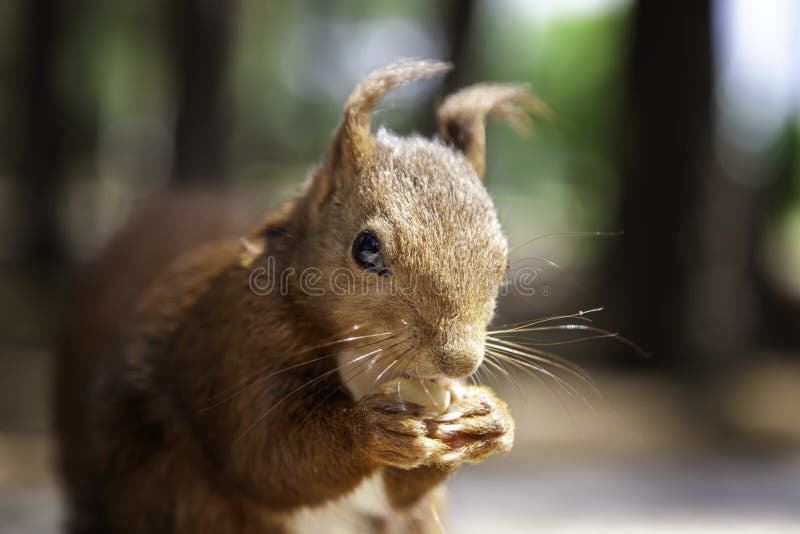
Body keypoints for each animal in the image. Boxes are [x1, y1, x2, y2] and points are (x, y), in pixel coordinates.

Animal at [54, 59, 545, 534]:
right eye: (367, 247)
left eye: (503, 262)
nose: (459, 361)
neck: (364, 360)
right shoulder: (242, 346)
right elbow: (269, 455)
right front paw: (372, 428)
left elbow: (398, 494)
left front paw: (491, 419)